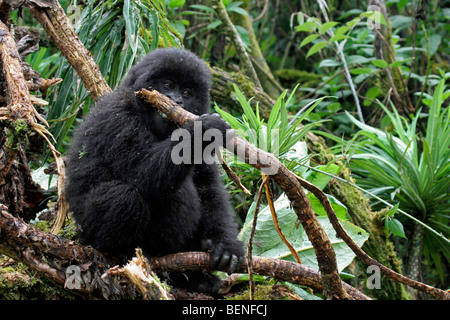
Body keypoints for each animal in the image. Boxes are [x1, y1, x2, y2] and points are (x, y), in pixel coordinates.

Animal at [65, 48, 244, 294]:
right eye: (167, 85)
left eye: (187, 92)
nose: (176, 101)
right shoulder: (117, 115)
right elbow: (140, 173)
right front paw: (201, 130)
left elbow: (208, 188)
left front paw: (225, 245)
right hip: (86, 234)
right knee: (123, 196)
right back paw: (119, 254)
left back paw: (194, 278)